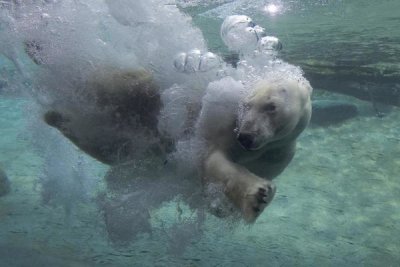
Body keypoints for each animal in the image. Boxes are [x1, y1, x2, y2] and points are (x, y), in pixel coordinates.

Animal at [198, 76, 312, 223]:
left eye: (271, 106)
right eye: (246, 105)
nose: (245, 136)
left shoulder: (277, 153)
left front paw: (222, 206)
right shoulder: (227, 129)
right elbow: (214, 160)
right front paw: (259, 197)